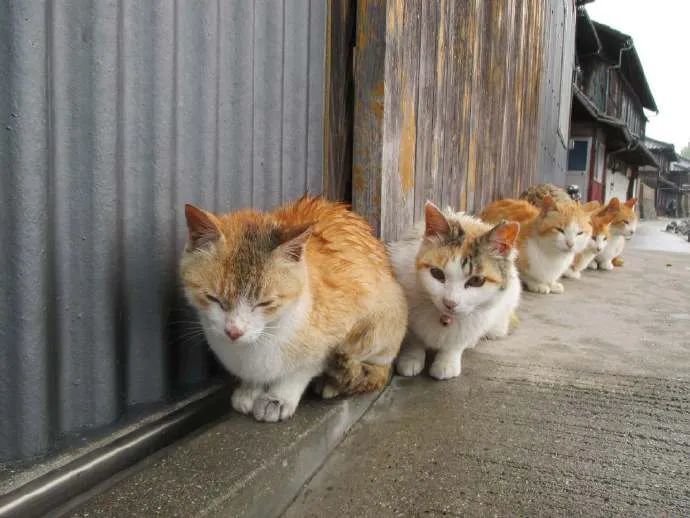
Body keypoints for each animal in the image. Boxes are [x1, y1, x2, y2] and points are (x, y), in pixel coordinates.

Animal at [180, 197, 406, 424]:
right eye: (213, 298)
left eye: (264, 303)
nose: (234, 332)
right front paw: (250, 390)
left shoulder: (337, 330)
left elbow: (303, 369)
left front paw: (278, 397)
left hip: (380, 324)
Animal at [390, 204, 520, 382]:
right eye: (437, 273)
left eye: (476, 280)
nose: (450, 303)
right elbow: (413, 338)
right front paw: (411, 358)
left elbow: (456, 342)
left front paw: (446, 363)